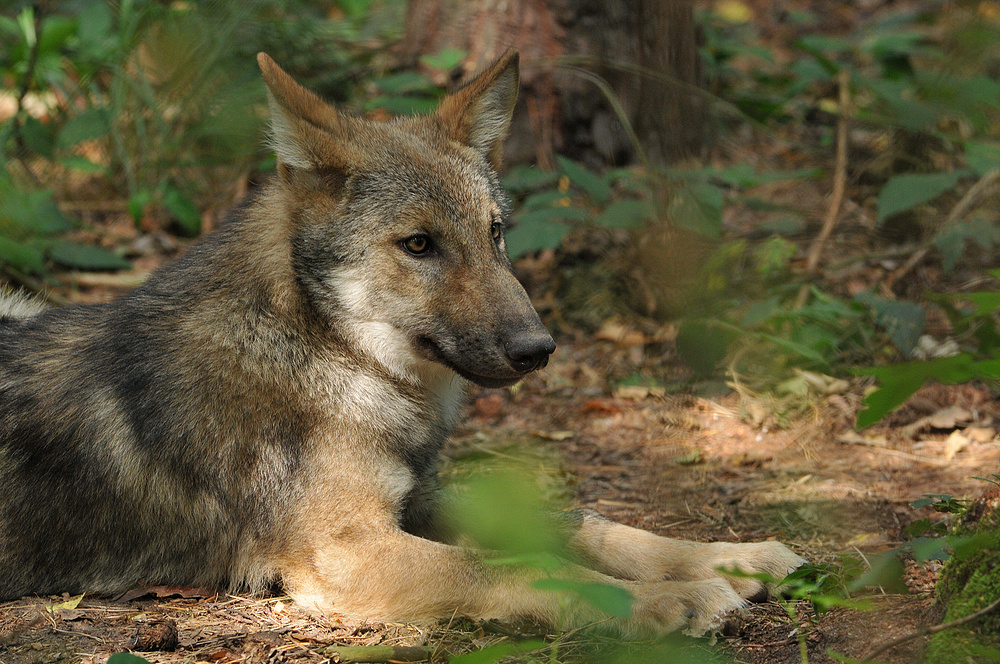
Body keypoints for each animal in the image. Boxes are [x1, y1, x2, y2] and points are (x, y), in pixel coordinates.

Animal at [0, 50, 800, 632]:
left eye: (496, 233)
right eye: (419, 245)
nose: (538, 348)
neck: (332, 358)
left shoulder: (414, 500)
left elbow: (582, 524)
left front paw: (731, 559)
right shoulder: (352, 549)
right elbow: (509, 568)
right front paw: (664, 602)